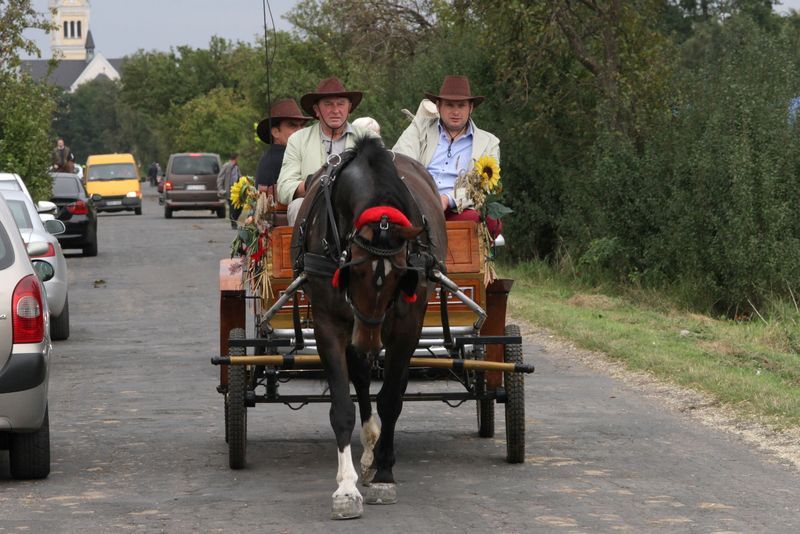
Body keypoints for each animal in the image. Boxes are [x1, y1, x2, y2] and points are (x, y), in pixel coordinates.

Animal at [290, 137, 446, 520]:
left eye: (400, 277)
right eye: (355, 271)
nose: (369, 339)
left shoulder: (406, 324)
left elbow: (391, 400)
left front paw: (384, 477)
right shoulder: (329, 323)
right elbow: (343, 407)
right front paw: (346, 489)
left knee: (395, 385)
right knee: (361, 378)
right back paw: (369, 444)